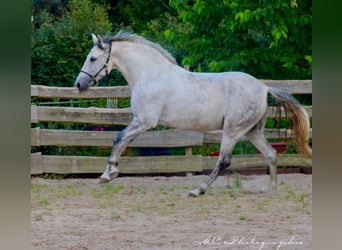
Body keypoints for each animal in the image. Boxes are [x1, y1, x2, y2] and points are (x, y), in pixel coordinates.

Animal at [75, 31, 312, 196]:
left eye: (93, 58)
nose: (79, 84)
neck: (150, 75)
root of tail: (263, 87)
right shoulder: (139, 122)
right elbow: (123, 142)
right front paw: (110, 173)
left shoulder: (145, 121)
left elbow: (117, 138)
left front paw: (107, 175)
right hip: (252, 132)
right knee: (271, 154)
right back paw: (269, 189)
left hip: (232, 132)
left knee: (224, 162)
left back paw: (198, 190)